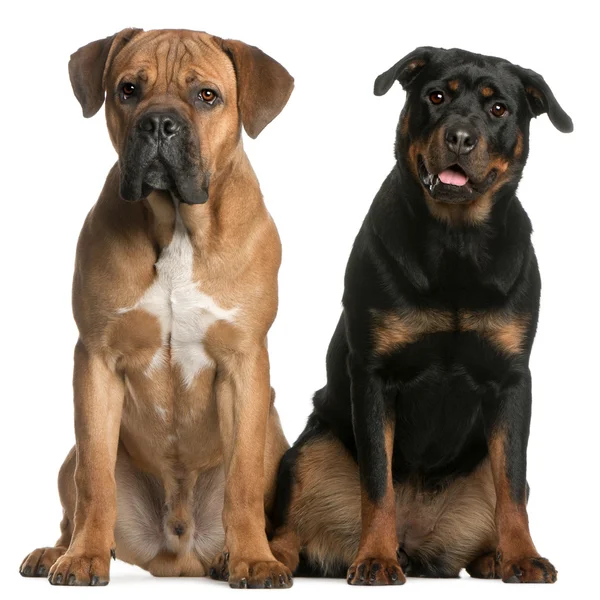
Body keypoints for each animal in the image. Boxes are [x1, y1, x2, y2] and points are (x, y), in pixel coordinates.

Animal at [16, 28, 292, 584]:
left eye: (207, 95)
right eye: (128, 89)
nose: (159, 123)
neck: (178, 225)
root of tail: (178, 553)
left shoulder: (244, 364)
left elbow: (243, 483)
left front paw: (254, 560)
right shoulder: (97, 361)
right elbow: (95, 479)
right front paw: (83, 556)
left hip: (276, 439)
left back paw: (241, 556)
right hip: (67, 458)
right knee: (76, 495)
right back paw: (57, 551)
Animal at [268, 48, 572, 584]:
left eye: (498, 109)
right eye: (436, 96)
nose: (460, 136)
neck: (456, 243)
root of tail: (417, 542)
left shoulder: (512, 379)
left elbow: (513, 483)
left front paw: (523, 556)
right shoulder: (374, 374)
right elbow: (377, 482)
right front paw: (375, 558)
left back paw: (494, 558)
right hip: (312, 449)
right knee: (289, 529)